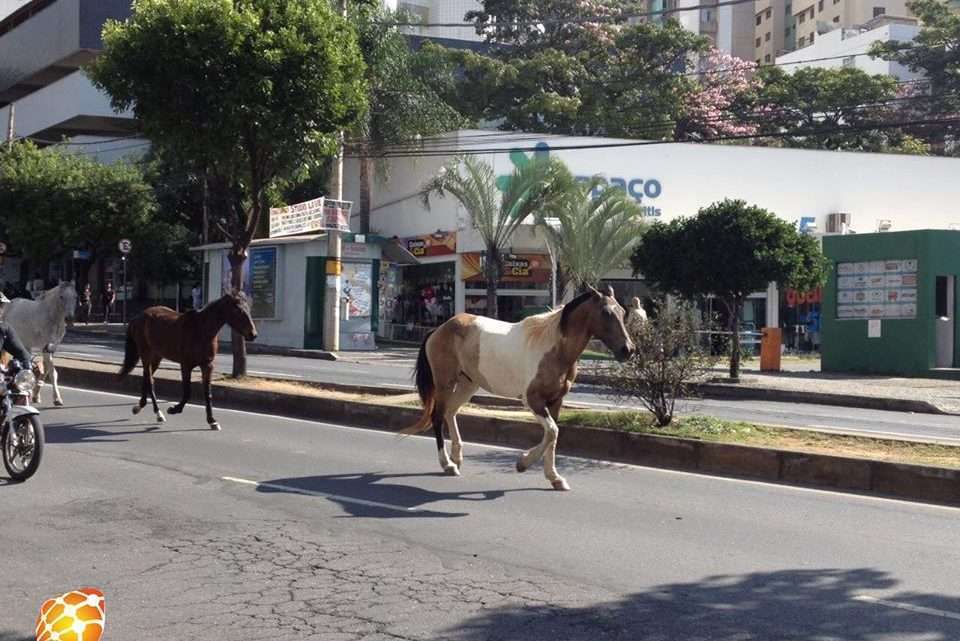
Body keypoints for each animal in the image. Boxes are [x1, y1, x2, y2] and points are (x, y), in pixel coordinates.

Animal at [118, 292, 256, 430]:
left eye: (249, 309)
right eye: (238, 310)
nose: (253, 334)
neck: (201, 330)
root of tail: (138, 317)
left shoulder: (207, 365)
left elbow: (207, 393)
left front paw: (212, 420)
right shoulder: (186, 365)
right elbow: (187, 392)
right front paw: (174, 409)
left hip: (156, 356)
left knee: (147, 377)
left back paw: (140, 406)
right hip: (145, 353)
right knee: (150, 380)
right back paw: (158, 413)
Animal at [404, 284, 636, 490]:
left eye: (623, 312)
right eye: (606, 313)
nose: (628, 349)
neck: (554, 349)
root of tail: (439, 329)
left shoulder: (556, 401)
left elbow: (553, 436)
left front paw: (555, 478)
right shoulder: (532, 399)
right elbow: (552, 431)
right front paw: (523, 463)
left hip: (467, 384)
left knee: (450, 412)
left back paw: (456, 458)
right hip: (445, 383)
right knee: (437, 416)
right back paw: (448, 464)